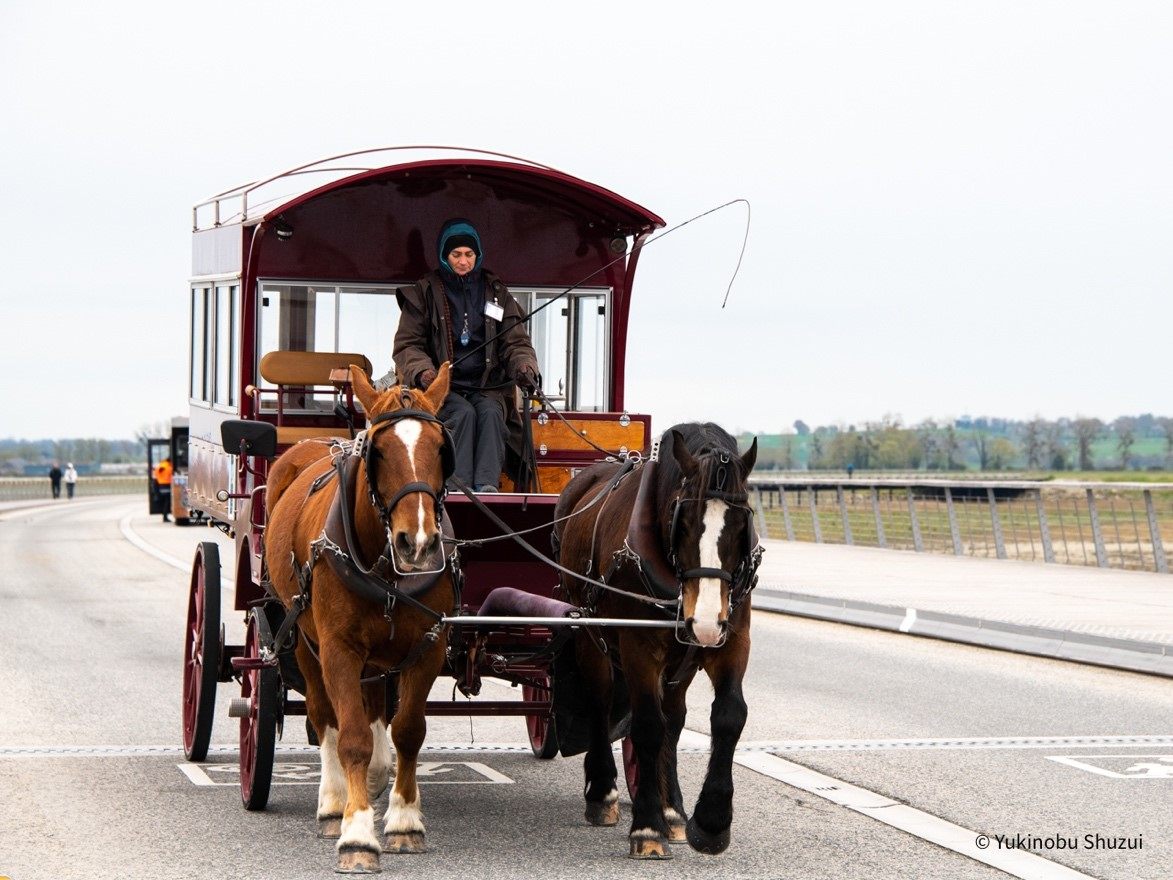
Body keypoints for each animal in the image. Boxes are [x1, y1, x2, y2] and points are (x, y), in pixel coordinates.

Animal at [267, 363, 457, 877]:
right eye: (379, 450)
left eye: (441, 447)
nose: (418, 543)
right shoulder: (339, 649)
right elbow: (350, 736)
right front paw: (357, 833)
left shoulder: (428, 644)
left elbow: (408, 730)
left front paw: (404, 820)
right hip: (300, 637)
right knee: (323, 715)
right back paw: (334, 804)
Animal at [556, 424, 764, 863]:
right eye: (680, 520)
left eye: (742, 524)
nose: (705, 621)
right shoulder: (638, 647)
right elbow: (647, 725)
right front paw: (647, 828)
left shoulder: (732, 640)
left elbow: (728, 716)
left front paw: (710, 822)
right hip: (590, 634)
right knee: (600, 701)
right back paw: (603, 792)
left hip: (682, 659)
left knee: (675, 717)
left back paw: (673, 811)